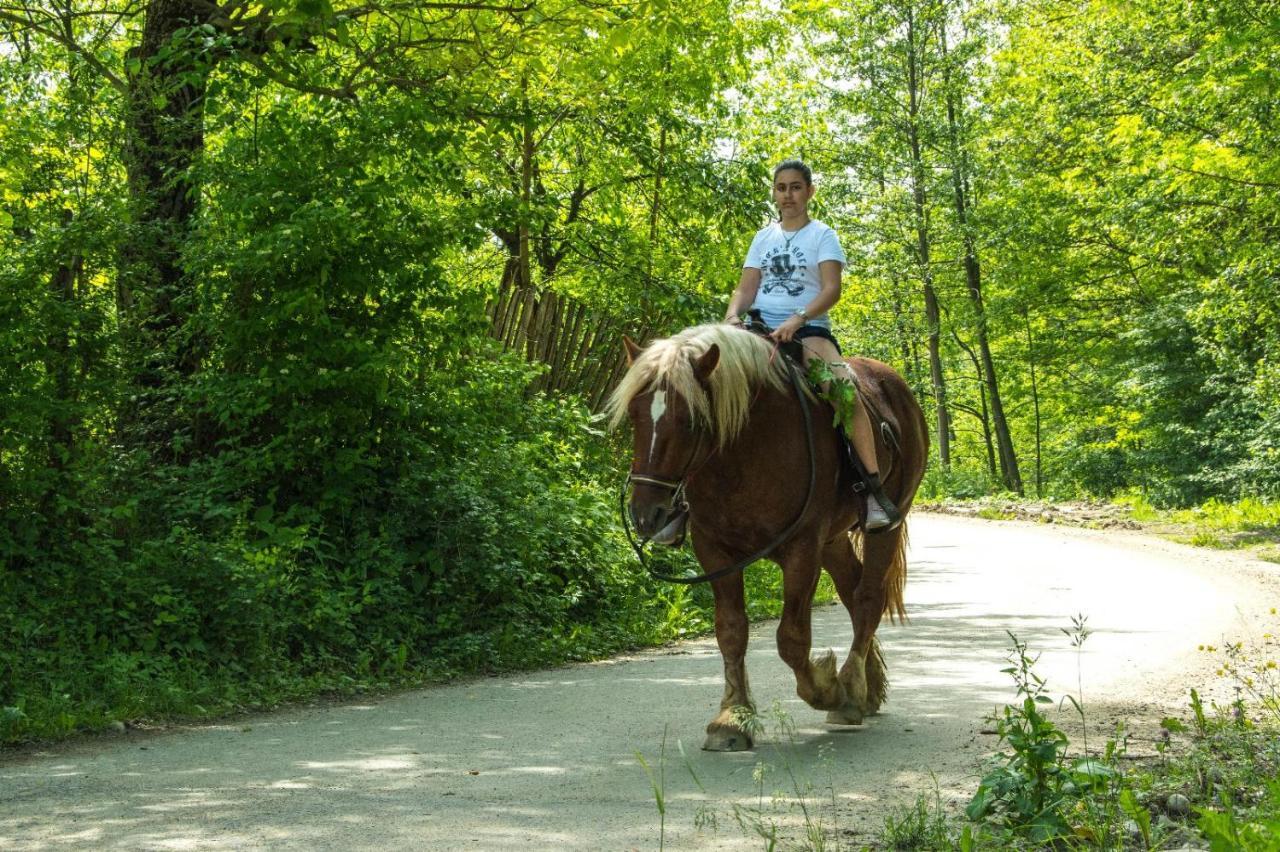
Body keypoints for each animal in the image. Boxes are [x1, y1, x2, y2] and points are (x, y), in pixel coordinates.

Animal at [604, 322, 926, 747]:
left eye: (691, 420)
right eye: (635, 417)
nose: (647, 515)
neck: (748, 448)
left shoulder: (802, 547)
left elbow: (791, 639)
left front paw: (827, 690)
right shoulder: (714, 550)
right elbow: (731, 631)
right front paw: (732, 718)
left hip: (887, 523)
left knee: (868, 598)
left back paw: (851, 691)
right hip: (833, 540)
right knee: (853, 592)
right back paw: (867, 689)